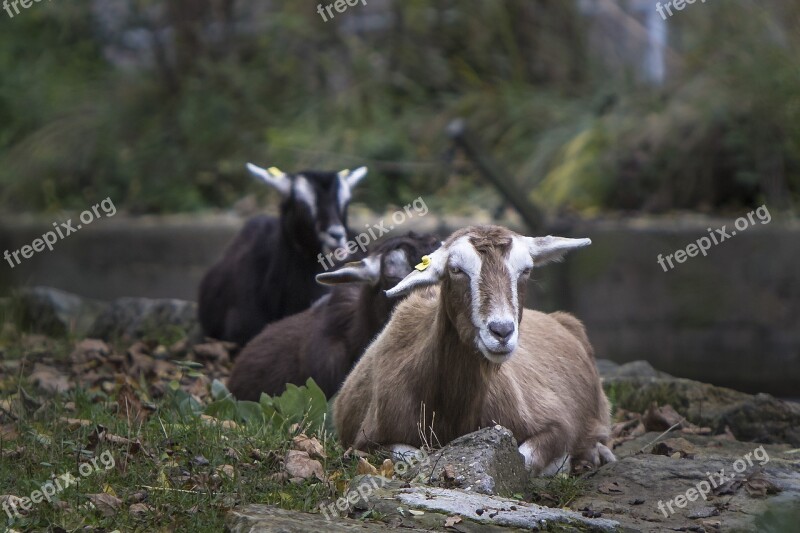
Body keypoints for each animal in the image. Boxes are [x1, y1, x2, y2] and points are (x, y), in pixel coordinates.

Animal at [334, 224, 616, 474]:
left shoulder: (557, 423)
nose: (501, 332)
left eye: (525, 270)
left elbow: (525, 460)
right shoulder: (363, 443)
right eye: (456, 269)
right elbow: (416, 457)